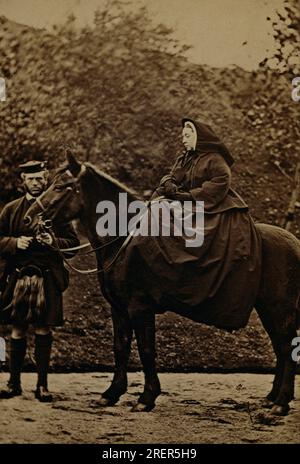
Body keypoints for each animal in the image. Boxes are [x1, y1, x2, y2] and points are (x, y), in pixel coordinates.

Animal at [25, 154, 300, 416]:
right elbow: (120, 348)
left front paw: (146, 398)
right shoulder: (119, 308)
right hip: (268, 310)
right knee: (280, 348)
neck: (124, 239)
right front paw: (112, 393)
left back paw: (281, 403)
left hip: (279, 310)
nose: (29, 219)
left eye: (61, 186)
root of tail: (295, 243)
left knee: (287, 349)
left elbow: (146, 349)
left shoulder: (140, 307)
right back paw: (272, 398)